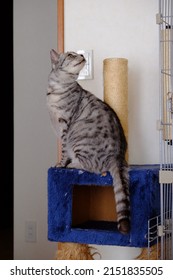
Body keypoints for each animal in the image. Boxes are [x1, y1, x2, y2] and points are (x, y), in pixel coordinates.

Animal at [46, 48, 130, 234]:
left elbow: (64, 151)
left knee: (93, 167)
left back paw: (72, 165)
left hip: (79, 140)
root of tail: (118, 157)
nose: (82, 55)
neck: (57, 87)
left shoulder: (65, 125)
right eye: (70, 54)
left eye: (76, 53)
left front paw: (60, 164)